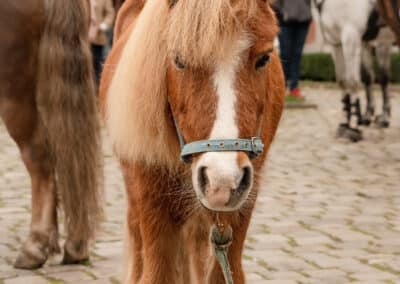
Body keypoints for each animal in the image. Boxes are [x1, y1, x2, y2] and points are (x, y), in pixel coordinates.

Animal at [314, 0, 396, 141]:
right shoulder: (337, 43)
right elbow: (346, 80)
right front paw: (346, 123)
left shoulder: (354, 37)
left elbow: (358, 80)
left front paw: (353, 127)